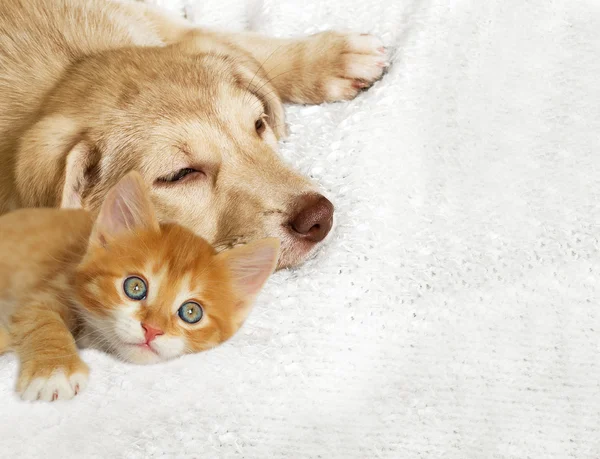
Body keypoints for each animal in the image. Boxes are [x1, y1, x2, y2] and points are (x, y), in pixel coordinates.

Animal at [0, 0, 386, 270]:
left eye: (258, 125)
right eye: (179, 175)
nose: (320, 217)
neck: (65, 65)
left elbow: (236, 44)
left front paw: (329, 58)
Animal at [0, 172, 280, 402]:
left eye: (191, 312)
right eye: (135, 287)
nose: (152, 330)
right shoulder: (46, 290)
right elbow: (42, 320)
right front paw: (54, 371)